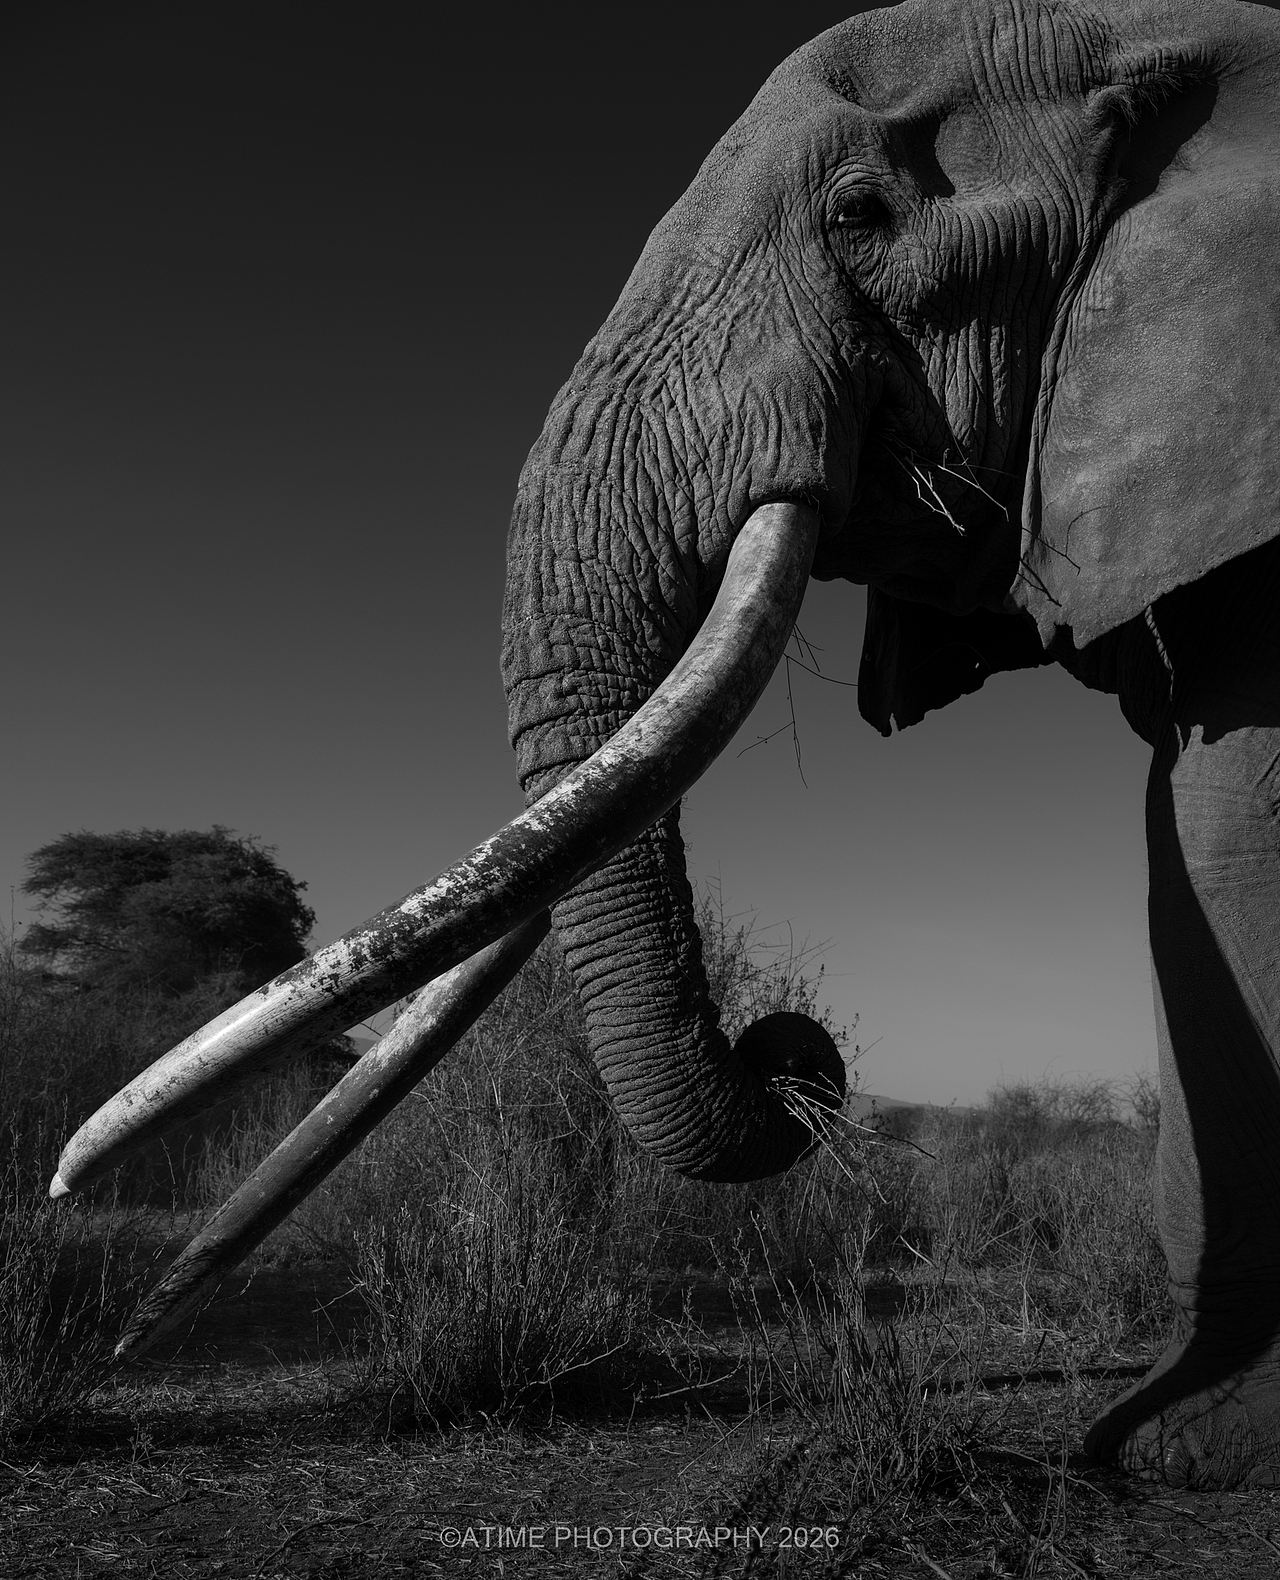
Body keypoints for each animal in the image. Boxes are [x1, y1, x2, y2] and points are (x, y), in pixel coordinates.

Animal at [47, 0, 1280, 1489]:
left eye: (863, 213)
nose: (792, 1044)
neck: (1151, 34)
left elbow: (1225, 820)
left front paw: (1188, 1451)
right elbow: (1190, 831)